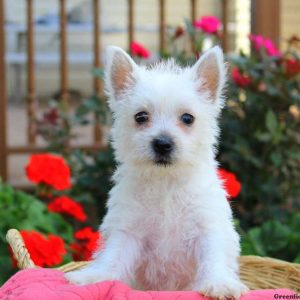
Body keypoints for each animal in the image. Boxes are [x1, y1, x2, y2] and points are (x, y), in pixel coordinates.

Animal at [67, 45, 250, 298]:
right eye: (141, 116)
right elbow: (112, 257)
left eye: (188, 118)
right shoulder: (128, 230)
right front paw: (92, 276)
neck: (166, 183)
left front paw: (220, 283)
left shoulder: (207, 227)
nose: (163, 143)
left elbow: (213, 256)